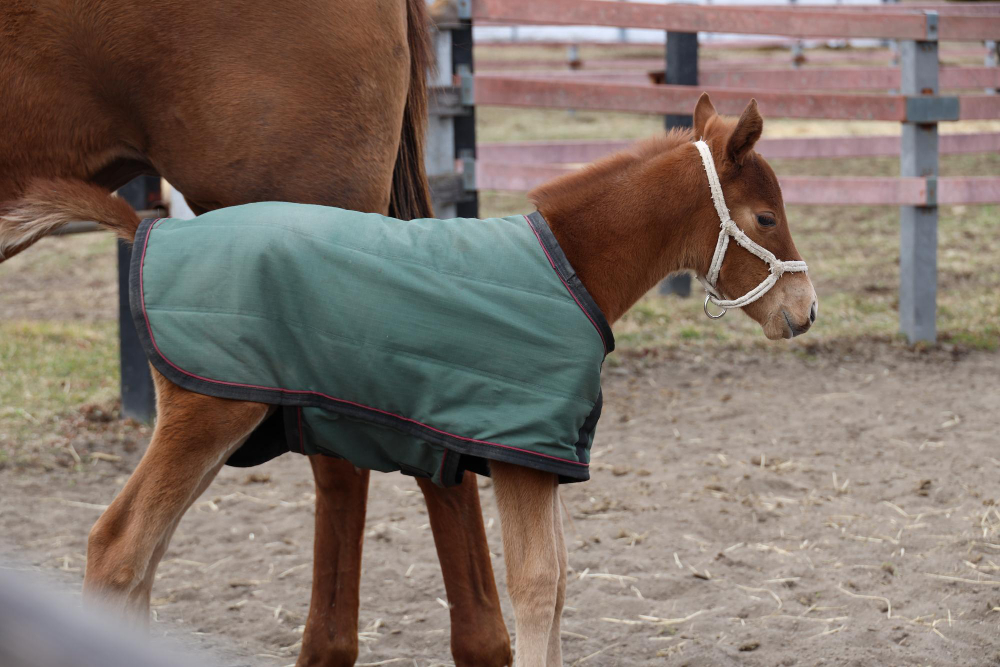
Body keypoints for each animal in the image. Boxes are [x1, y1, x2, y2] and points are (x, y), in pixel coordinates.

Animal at [0, 94, 816, 667]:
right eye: (766, 217)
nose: (804, 312)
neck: (567, 263)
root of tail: (154, 229)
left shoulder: (542, 458)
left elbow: (558, 579)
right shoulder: (522, 456)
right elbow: (537, 583)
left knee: (145, 556)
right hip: (205, 418)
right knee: (118, 547)